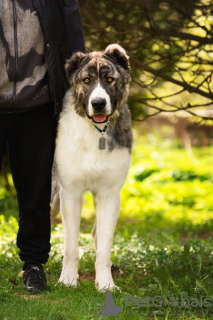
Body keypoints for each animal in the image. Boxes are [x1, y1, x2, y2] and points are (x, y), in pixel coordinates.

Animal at [50, 43, 132, 292]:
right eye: (86, 80)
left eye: (109, 79)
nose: (98, 103)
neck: (97, 132)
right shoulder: (70, 193)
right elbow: (70, 246)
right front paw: (67, 280)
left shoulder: (109, 195)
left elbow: (104, 246)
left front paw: (106, 284)